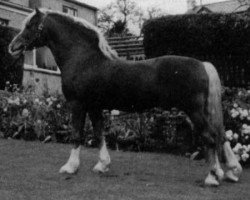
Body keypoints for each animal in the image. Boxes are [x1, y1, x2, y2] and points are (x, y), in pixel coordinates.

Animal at [8, 7, 242, 186]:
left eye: (30, 25)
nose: (13, 47)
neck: (84, 59)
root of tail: (202, 64)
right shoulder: (94, 107)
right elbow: (99, 134)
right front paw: (102, 165)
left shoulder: (77, 105)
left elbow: (77, 135)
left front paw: (70, 167)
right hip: (202, 111)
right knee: (220, 136)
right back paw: (229, 172)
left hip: (194, 111)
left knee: (210, 137)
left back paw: (212, 177)